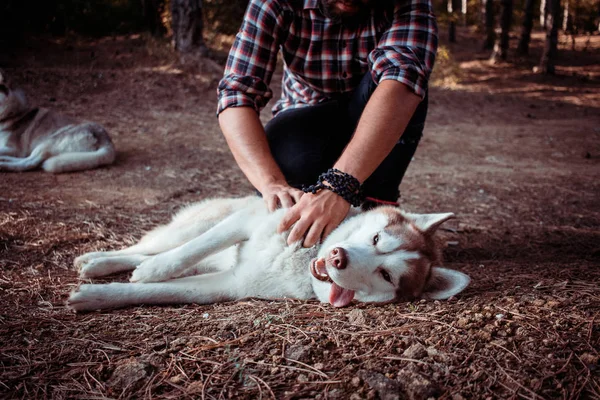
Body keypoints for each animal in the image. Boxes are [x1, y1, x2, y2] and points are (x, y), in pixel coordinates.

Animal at [68, 195, 472, 310]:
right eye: (376, 239)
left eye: (385, 275)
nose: (337, 258)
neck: (300, 260)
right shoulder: (246, 222)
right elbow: (186, 254)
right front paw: (155, 271)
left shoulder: (227, 285)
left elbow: (159, 290)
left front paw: (94, 298)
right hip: (199, 223)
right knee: (155, 247)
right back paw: (99, 259)